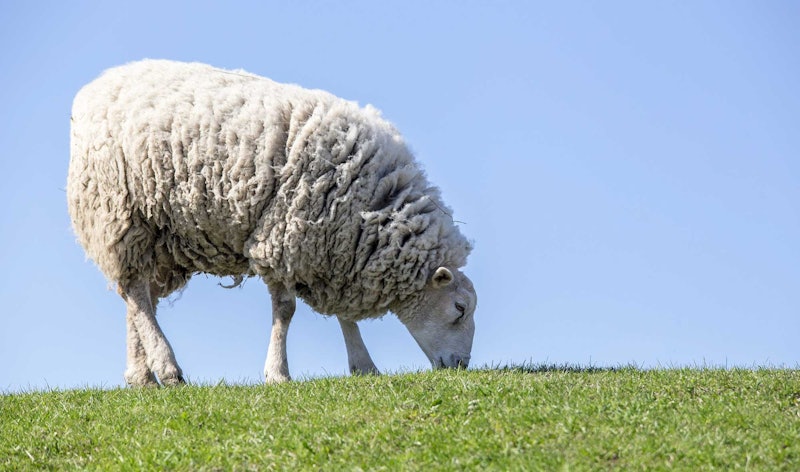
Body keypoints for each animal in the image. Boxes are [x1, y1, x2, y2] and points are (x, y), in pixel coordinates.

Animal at [67, 59, 477, 386]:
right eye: (459, 308)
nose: (461, 366)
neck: (371, 206)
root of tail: (96, 86)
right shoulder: (285, 237)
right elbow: (286, 310)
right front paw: (278, 373)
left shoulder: (335, 252)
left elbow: (344, 316)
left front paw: (363, 366)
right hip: (120, 211)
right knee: (135, 291)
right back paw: (167, 368)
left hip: (161, 235)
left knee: (138, 297)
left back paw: (141, 375)